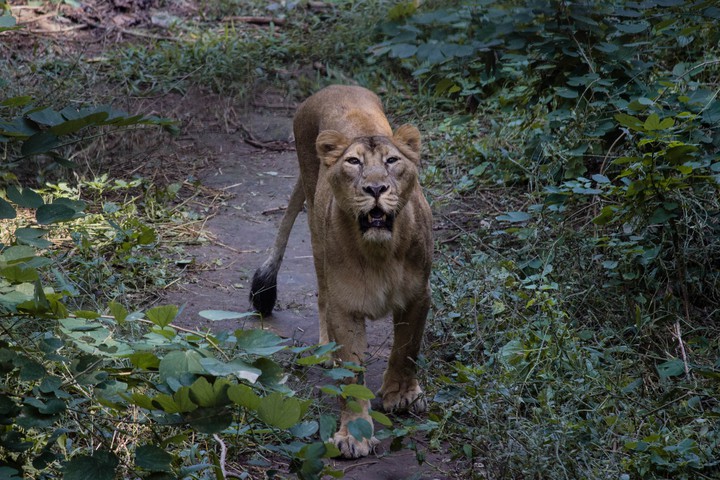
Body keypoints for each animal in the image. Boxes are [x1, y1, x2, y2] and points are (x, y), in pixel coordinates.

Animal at [250, 85, 432, 458]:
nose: (375, 189)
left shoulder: (419, 296)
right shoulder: (346, 306)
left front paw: (402, 395)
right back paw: (326, 351)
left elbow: (407, 348)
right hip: (316, 226)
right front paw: (354, 435)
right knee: (321, 292)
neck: (381, 252)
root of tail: (332, 87)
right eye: (353, 162)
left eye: (392, 161)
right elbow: (352, 376)